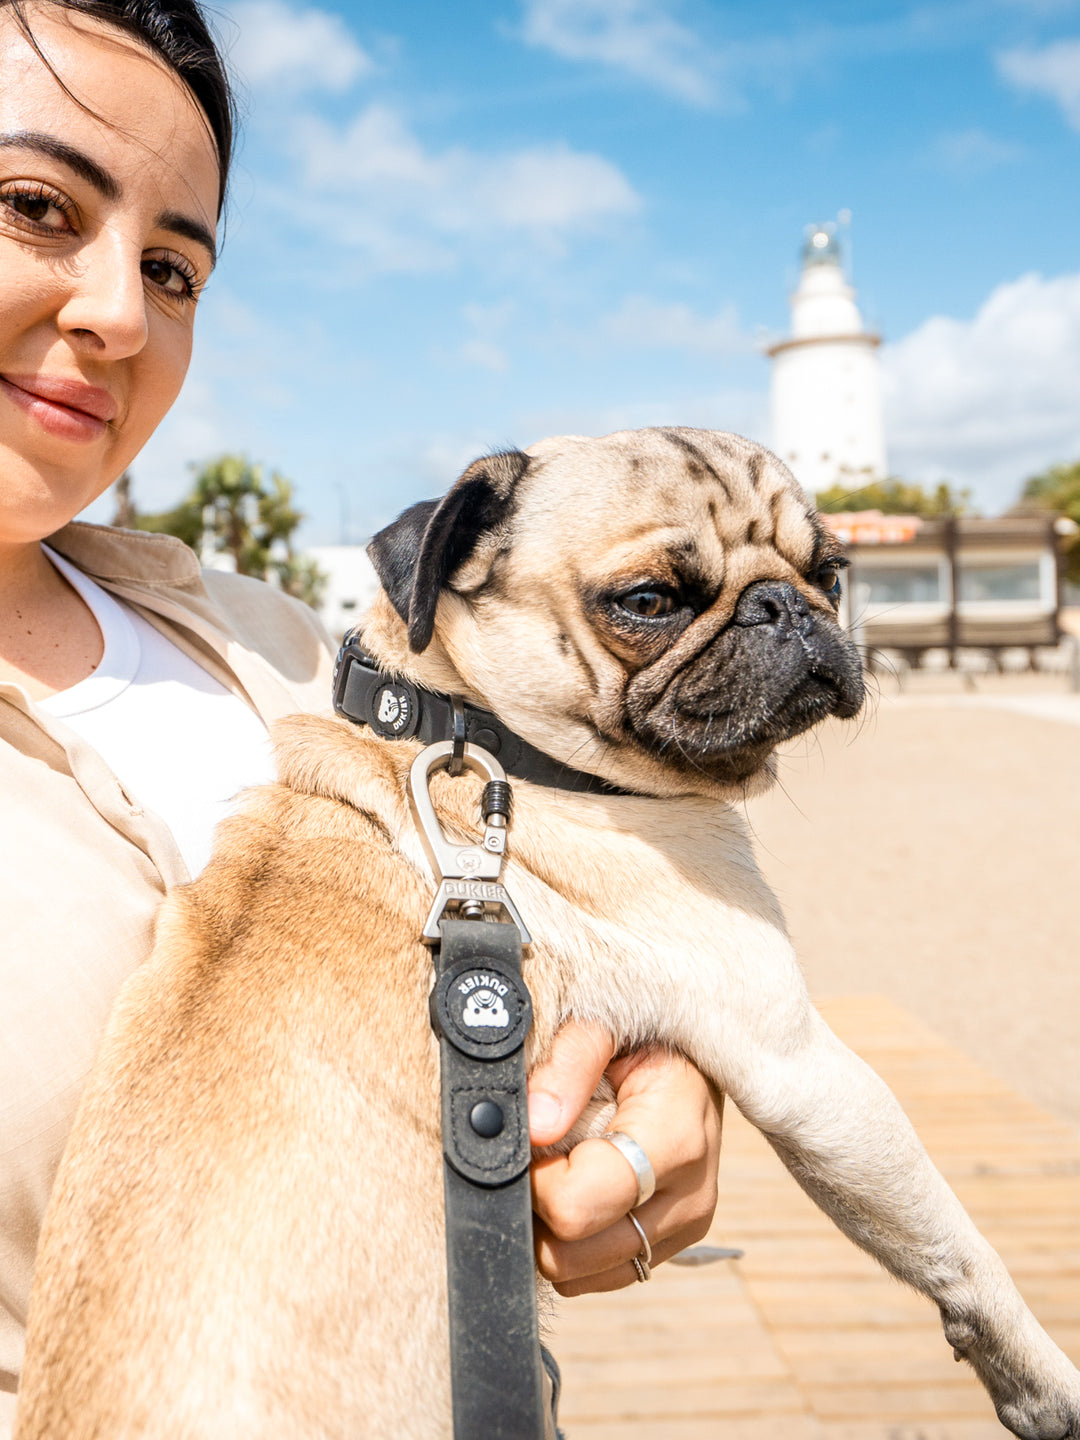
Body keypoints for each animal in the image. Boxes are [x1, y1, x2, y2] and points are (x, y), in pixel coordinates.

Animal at [16, 429, 1080, 1440]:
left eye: (833, 574)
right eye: (649, 600)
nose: (787, 605)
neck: (473, 729)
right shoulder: (806, 1065)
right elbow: (953, 1243)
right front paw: (1040, 1379)